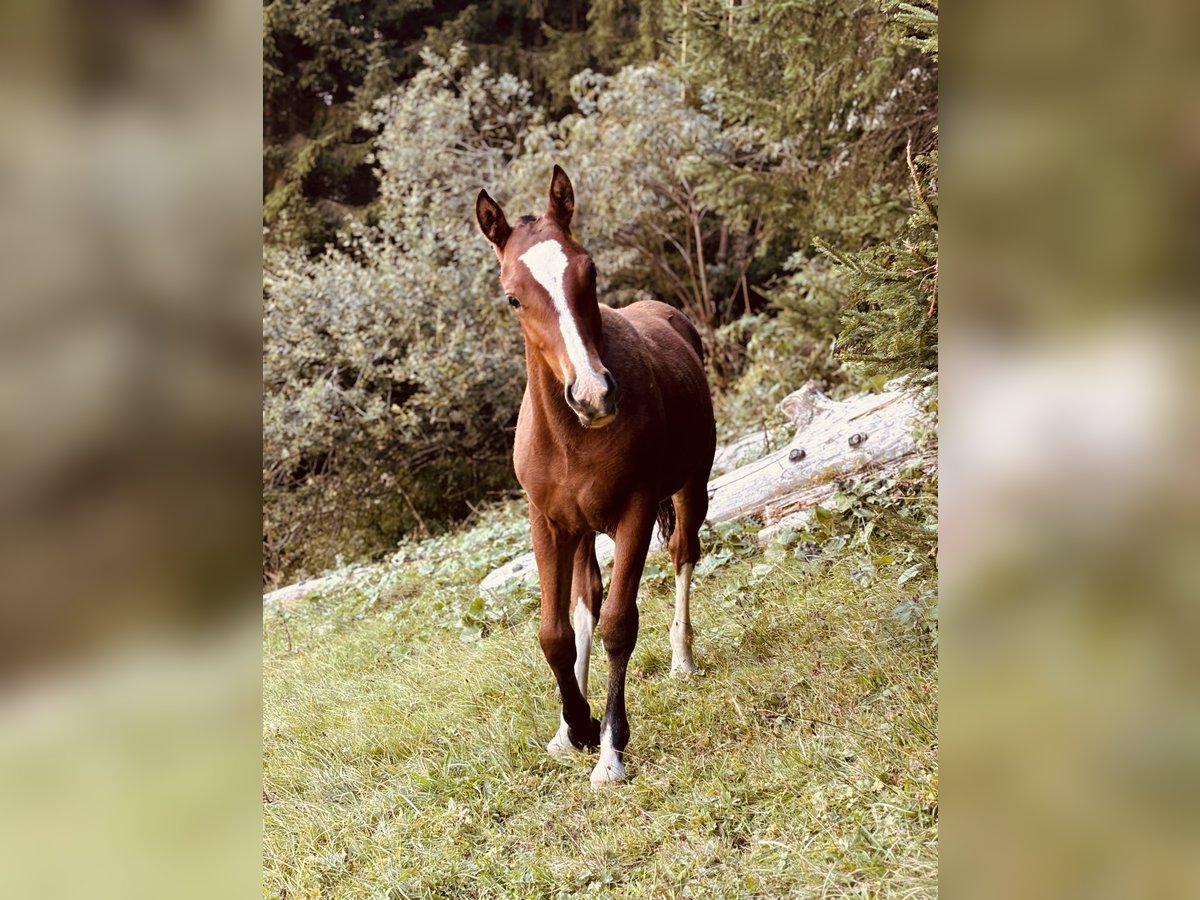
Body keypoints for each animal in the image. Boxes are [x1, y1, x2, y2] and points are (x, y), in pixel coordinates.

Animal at [475, 165, 710, 787]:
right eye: (512, 297)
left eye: (591, 270)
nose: (592, 395)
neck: (573, 439)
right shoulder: (548, 523)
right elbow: (557, 632)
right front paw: (575, 726)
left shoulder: (635, 512)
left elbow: (618, 625)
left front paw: (609, 749)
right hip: (580, 530)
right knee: (584, 601)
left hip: (690, 489)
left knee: (683, 554)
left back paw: (681, 658)